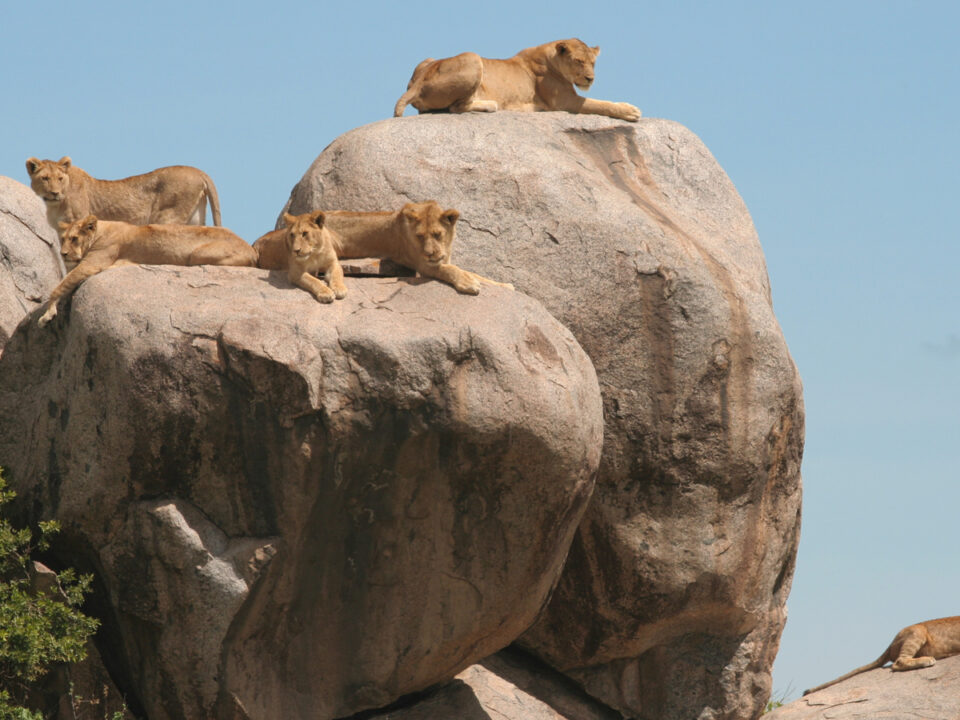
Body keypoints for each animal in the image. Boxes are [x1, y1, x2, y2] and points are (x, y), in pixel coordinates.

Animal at [25, 157, 223, 231]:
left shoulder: (79, 220)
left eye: (59, 178)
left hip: (167, 216)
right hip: (195, 217)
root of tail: (199, 171)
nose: (55, 192)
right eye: (45, 178)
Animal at [38, 214, 255, 326]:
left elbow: (59, 286)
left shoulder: (93, 263)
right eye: (63, 238)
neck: (101, 231)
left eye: (74, 238)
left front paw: (46, 315)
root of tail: (251, 249)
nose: (63, 253)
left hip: (196, 254)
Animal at [255, 200, 510, 296]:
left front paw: (505, 285)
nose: (430, 253)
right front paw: (468, 283)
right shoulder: (424, 266)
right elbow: (452, 270)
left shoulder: (442, 258)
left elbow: (476, 273)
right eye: (420, 236)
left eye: (437, 234)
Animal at [394, 38, 640, 121]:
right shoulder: (565, 102)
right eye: (578, 61)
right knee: (456, 107)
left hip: (427, 60)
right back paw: (491, 105)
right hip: (473, 57)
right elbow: (600, 104)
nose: (590, 78)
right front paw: (630, 110)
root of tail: (416, 83)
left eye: (593, 63)